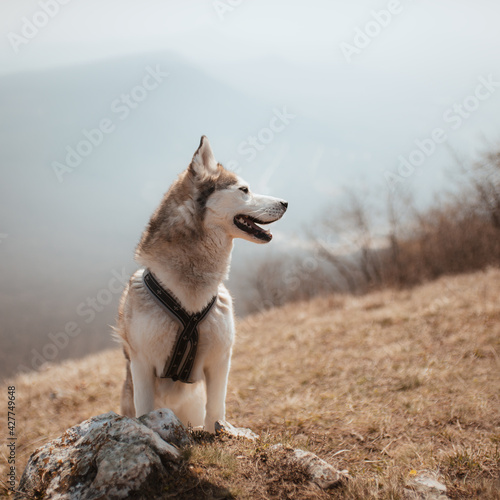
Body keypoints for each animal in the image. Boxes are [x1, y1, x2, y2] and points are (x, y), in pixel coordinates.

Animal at [114, 135, 288, 432]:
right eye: (244, 190)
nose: (286, 202)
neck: (191, 292)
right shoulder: (142, 363)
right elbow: (146, 411)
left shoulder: (220, 360)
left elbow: (216, 409)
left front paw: (218, 432)